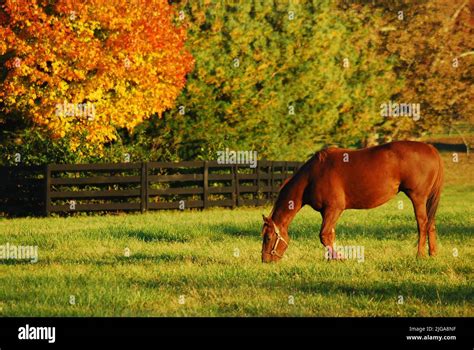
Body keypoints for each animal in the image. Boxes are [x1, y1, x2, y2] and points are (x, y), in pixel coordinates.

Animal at [262, 141, 444, 262]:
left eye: (268, 238)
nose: (265, 260)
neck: (312, 176)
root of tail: (430, 148)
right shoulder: (327, 213)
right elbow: (330, 235)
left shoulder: (333, 209)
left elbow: (324, 235)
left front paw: (339, 258)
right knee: (431, 223)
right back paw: (433, 253)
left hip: (418, 197)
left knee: (423, 224)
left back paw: (420, 255)